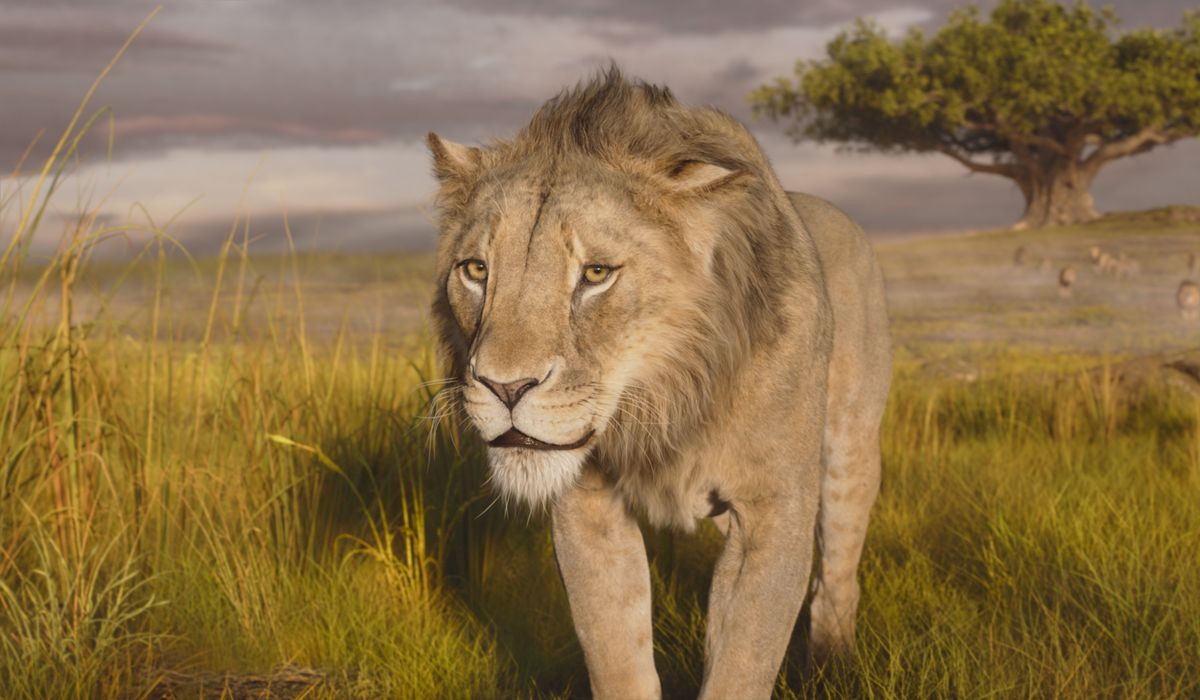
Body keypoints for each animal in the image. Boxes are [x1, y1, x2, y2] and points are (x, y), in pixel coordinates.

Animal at [426, 69, 891, 699]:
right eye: (476, 269)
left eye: (596, 274)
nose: (505, 387)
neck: (664, 401)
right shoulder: (587, 508)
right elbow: (616, 654)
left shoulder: (773, 509)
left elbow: (743, 664)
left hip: (850, 448)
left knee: (840, 565)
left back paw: (833, 662)